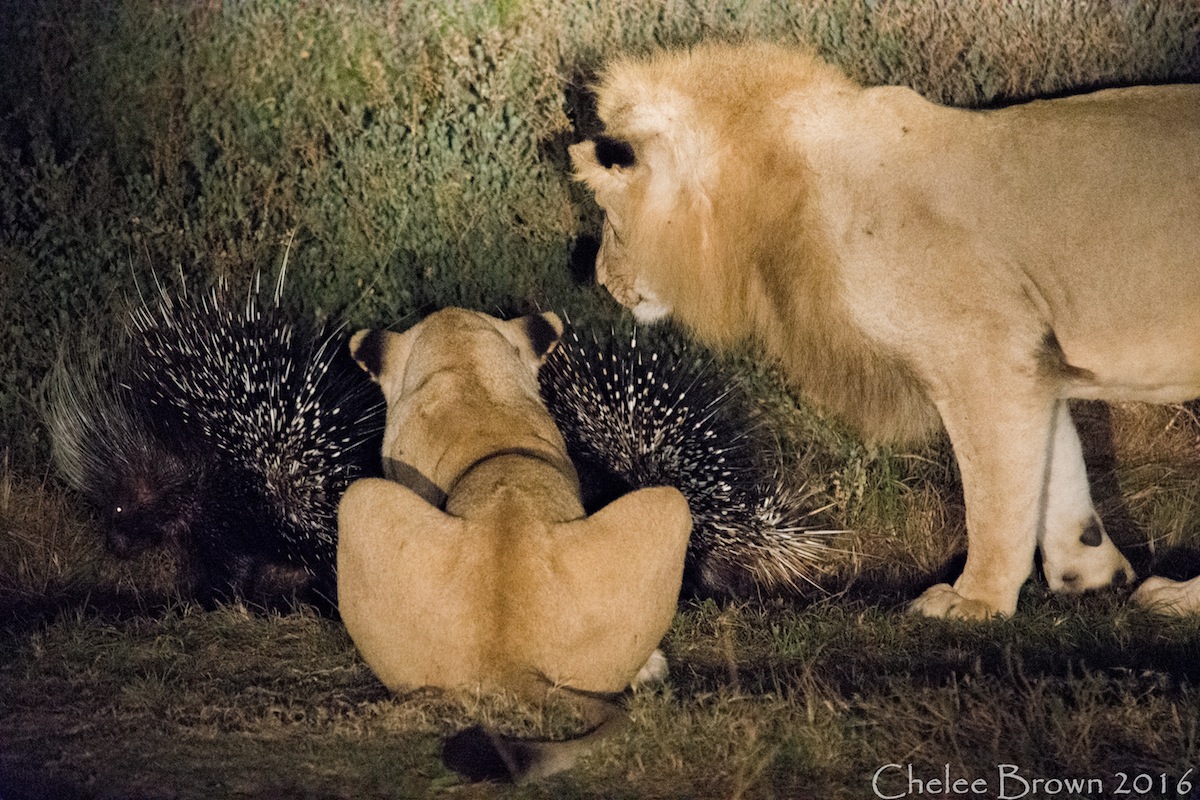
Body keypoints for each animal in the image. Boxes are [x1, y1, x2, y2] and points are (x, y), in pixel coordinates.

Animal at [568, 43, 1200, 618]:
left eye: (609, 216)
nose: (597, 279)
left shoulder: (985, 357)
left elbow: (997, 495)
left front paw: (975, 600)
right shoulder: (1032, 356)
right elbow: (1055, 469)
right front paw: (1088, 574)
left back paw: (1176, 597)